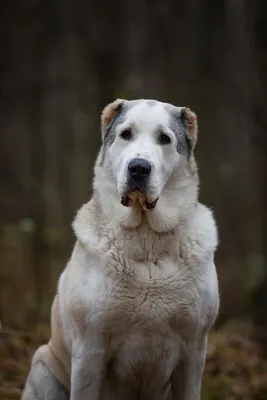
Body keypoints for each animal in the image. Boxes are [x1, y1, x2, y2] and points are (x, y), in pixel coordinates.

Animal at [22, 99, 220, 400]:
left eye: (164, 138)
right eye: (126, 134)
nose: (138, 168)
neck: (147, 239)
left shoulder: (194, 350)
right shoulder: (90, 349)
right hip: (43, 364)